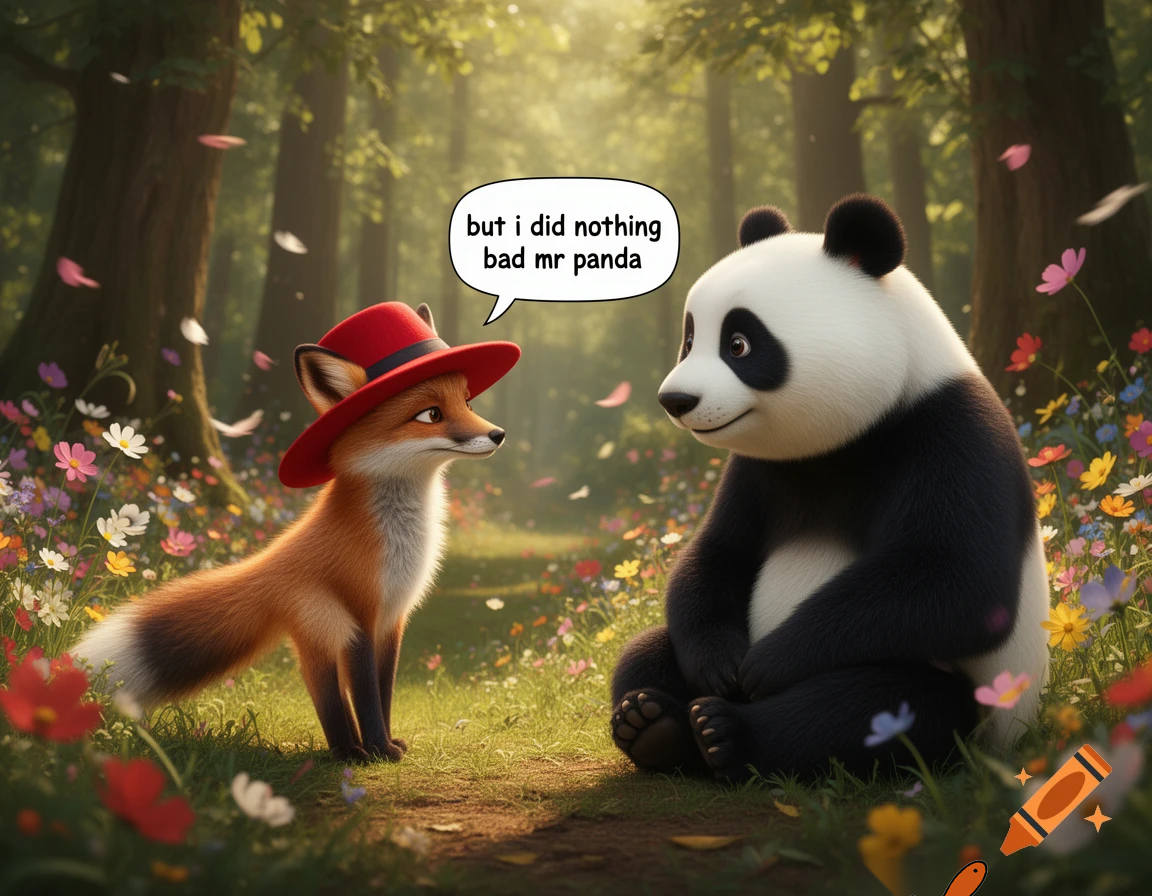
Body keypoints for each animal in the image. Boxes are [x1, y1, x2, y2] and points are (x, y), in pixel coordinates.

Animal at [74, 303, 515, 761]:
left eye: (467, 401)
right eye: (431, 414)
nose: (498, 434)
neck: (400, 539)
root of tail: (270, 560)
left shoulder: (393, 619)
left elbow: (384, 690)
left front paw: (389, 742)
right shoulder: (362, 615)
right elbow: (367, 694)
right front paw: (380, 749)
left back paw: (350, 749)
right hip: (328, 624)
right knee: (324, 690)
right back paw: (348, 752)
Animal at [610, 195, 1050, 782]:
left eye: (739, 344)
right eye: (690, 339)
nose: (675, 400)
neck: (847, 438)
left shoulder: (951, 433)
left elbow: (958, 582)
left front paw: (765, 663)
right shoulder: (758, 470)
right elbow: (717, 553)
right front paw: (720, 664)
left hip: (981, 704)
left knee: (878, 707)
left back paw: (725, 733)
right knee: (646, 652)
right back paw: (652, 722)